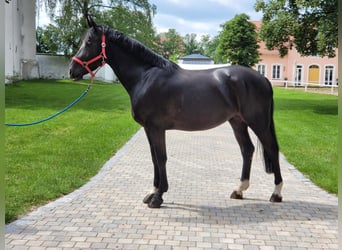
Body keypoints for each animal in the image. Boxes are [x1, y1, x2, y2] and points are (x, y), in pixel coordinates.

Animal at [69, 15, 284, 207]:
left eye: (89, 42)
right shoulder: (148, 128)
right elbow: (154, 158)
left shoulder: (156, 128)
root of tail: (263, 79)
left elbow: (161, 158)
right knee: (247, 150)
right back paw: (239, 190)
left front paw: (158, 196)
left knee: (272, 148)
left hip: (258, 122)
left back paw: (276, 193)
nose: (72, 70)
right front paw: (152, 192)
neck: (145, 77)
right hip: (237, 121)